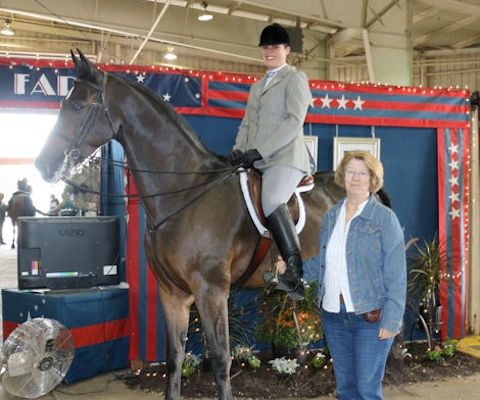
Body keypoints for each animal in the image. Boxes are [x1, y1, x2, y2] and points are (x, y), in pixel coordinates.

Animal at [35, 53, 344, 400]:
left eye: (77, 106)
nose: (42, 165)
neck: (183, 192)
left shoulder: (211, 291)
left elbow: (221, 359)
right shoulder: (172, 292)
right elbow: (175, 358)